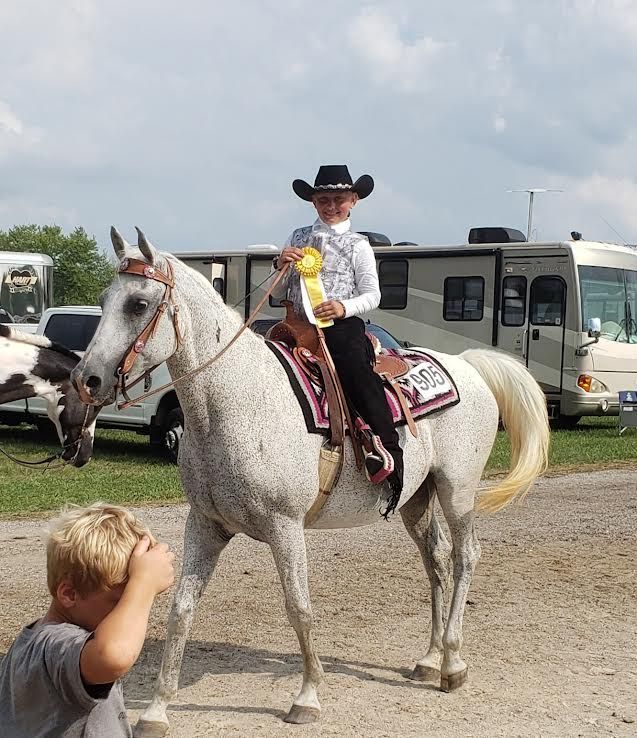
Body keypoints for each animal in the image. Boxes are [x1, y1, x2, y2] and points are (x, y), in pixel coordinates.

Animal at [72, 227, 550, 736]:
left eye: (138, 304)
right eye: (104, 300)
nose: (86, 379)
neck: (237, 401)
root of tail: (468, 365)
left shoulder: (285, 526)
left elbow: (298, 608)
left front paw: (308, 696)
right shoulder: (204, 523)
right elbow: (181, 610)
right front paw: (158, 709)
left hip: (457, 489)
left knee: (464, 558)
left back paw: (453, 664)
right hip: (417, 500)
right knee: (436, 562)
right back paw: (429, 658)